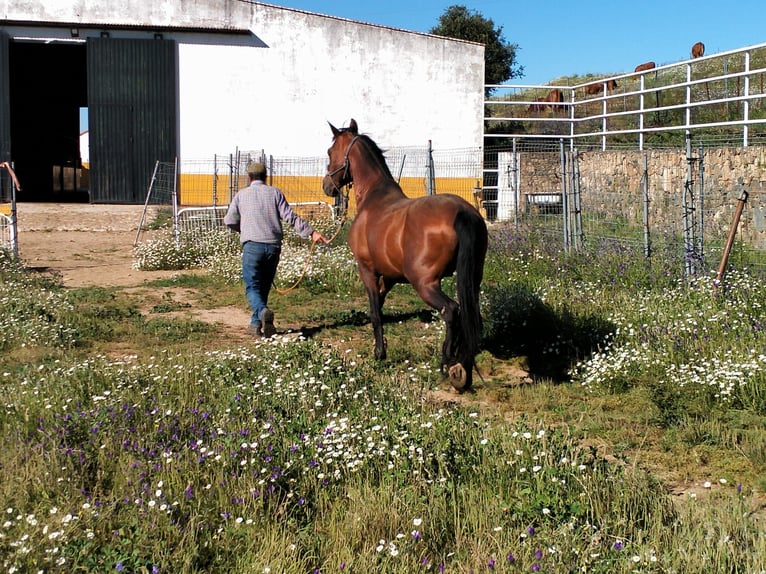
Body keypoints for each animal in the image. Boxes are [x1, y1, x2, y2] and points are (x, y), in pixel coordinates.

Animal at [320, 120, 488, 394]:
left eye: (330, 151)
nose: (327, 186)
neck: (373, 198)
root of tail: (462, 212)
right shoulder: (390, 276)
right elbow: (379, 303)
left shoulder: (367, 270)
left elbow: (375, 312)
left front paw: (379, 353)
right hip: (472, 280)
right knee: (471, 315)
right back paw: (463, 365)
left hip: (425, 284)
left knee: (452, 310)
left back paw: (448, 362)